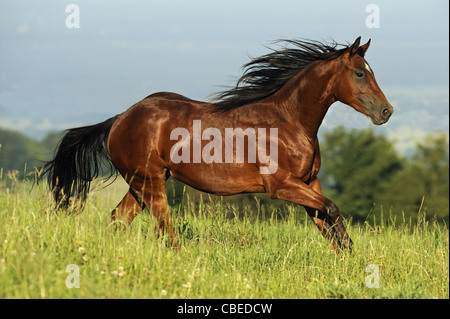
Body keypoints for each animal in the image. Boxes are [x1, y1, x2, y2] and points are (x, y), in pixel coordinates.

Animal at [43, 36, 394, 254]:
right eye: (360, 73)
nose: (386, 111)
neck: (289, 121)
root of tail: (119, 120)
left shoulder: (309, 182)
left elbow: (326, 218)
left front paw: (348, 260)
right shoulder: (281, 186)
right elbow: (332, 209)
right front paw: (350, 258)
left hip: (139, 183)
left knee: (118, 220)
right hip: (150, 183)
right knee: (164, 229)